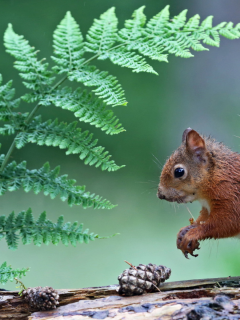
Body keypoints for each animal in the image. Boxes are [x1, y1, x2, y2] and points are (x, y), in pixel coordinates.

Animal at [158, 127, 240, 258]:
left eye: (179, 172)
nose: (160, 194)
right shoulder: (207, 207)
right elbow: (202, 217)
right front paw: (185, 230)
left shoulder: (232, 197)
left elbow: (226, 223)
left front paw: (193, 233)